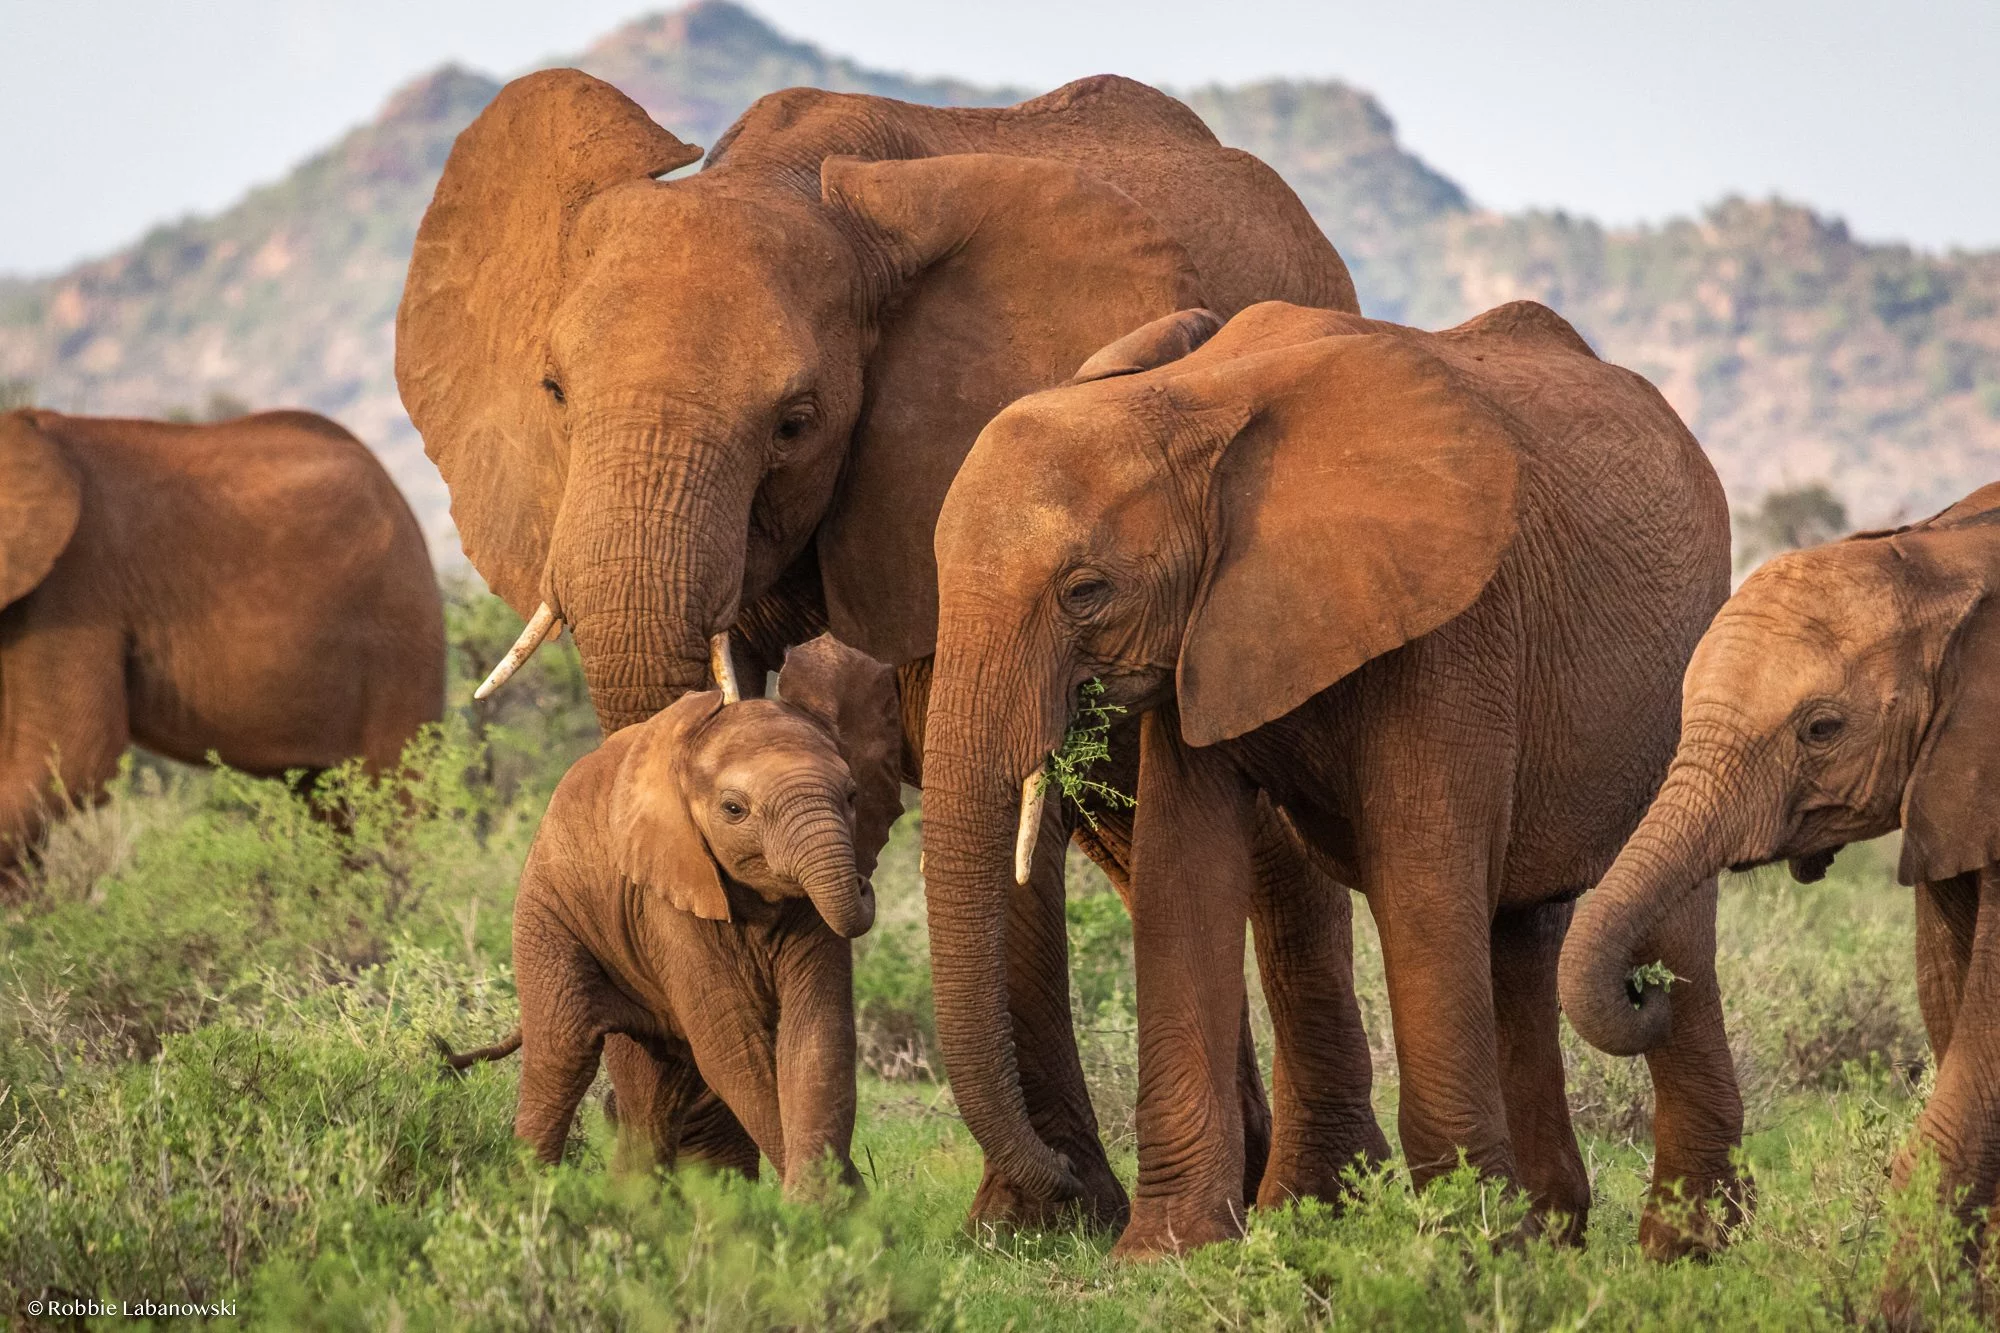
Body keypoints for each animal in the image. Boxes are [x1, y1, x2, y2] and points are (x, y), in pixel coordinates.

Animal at [454, 628, 908, 1184]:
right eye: (734, 809)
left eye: (852, 796)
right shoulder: (665, 898)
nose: (864, 884)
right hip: (549, 909)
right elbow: (732, 1049)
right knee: (562, 1053)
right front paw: (832, 1198)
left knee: (657, 1090)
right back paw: (528, 1191)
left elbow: (816, 1037)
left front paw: (832, 1197)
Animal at [920, 300, 1736, 1256]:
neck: (1190, 402)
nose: (1057, 1180)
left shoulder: (1453, 623)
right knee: (1523, 937)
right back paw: (1551, 1231)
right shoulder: (1204, 636)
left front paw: (1463, 1247)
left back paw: (1686, 1247)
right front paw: (1166, 1253)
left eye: (1085, 591)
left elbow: (1422, 877)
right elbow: (1181, 878)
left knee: (1669, 931)